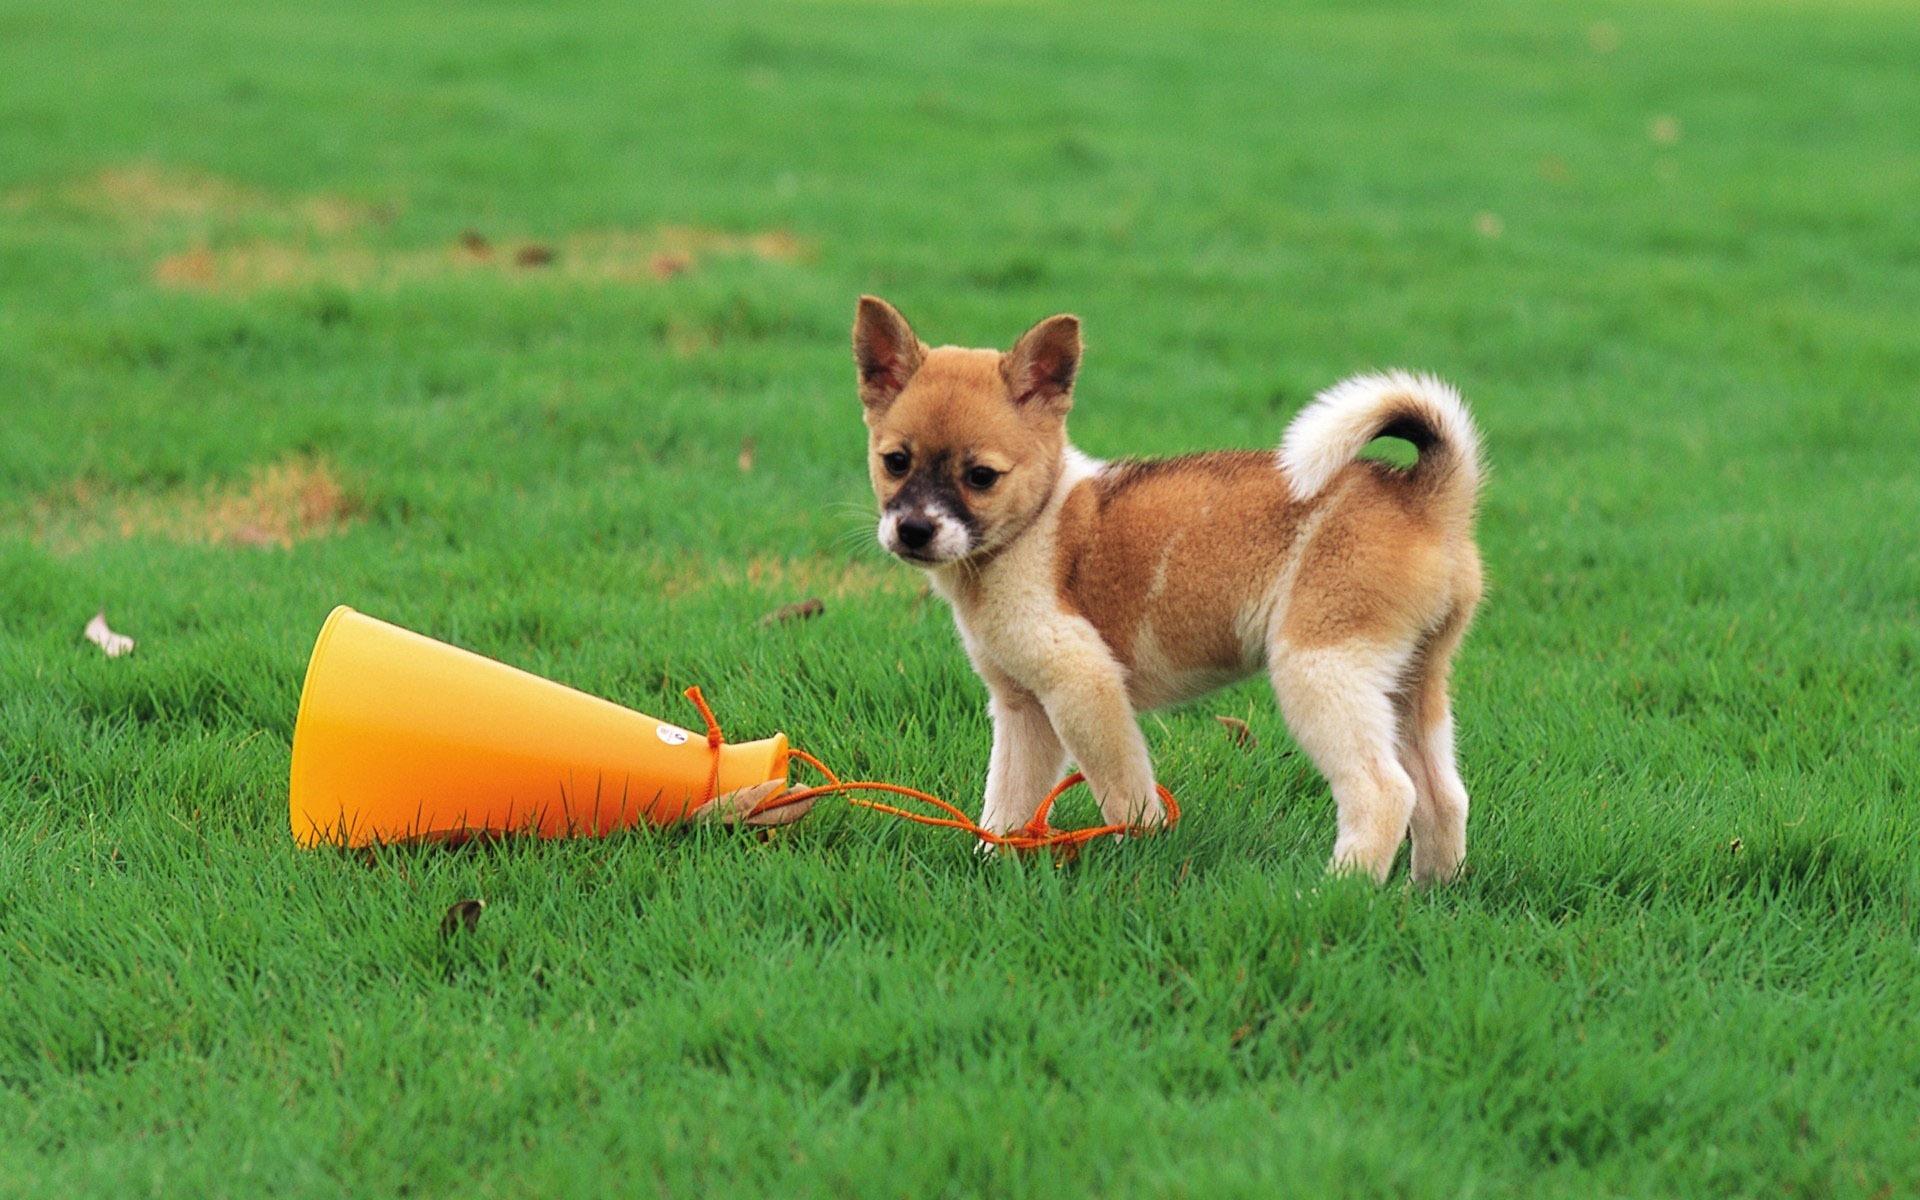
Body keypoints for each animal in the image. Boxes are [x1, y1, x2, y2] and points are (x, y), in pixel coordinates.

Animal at [856, 295, 1482, 883]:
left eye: (981, 477)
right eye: (895, 461)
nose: (913, 530)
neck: (1030, 526)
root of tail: (1427, 498)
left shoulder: (1083, 686)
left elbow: (1125, 795)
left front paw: (1141, 855)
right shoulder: (1022, 709)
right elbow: (1006, 803)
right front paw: (995, 866)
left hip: (1322, 670)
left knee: (1384, 792)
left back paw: (1334, 893)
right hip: (1412, 686)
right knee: (1442, 796)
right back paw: (1429, 894)